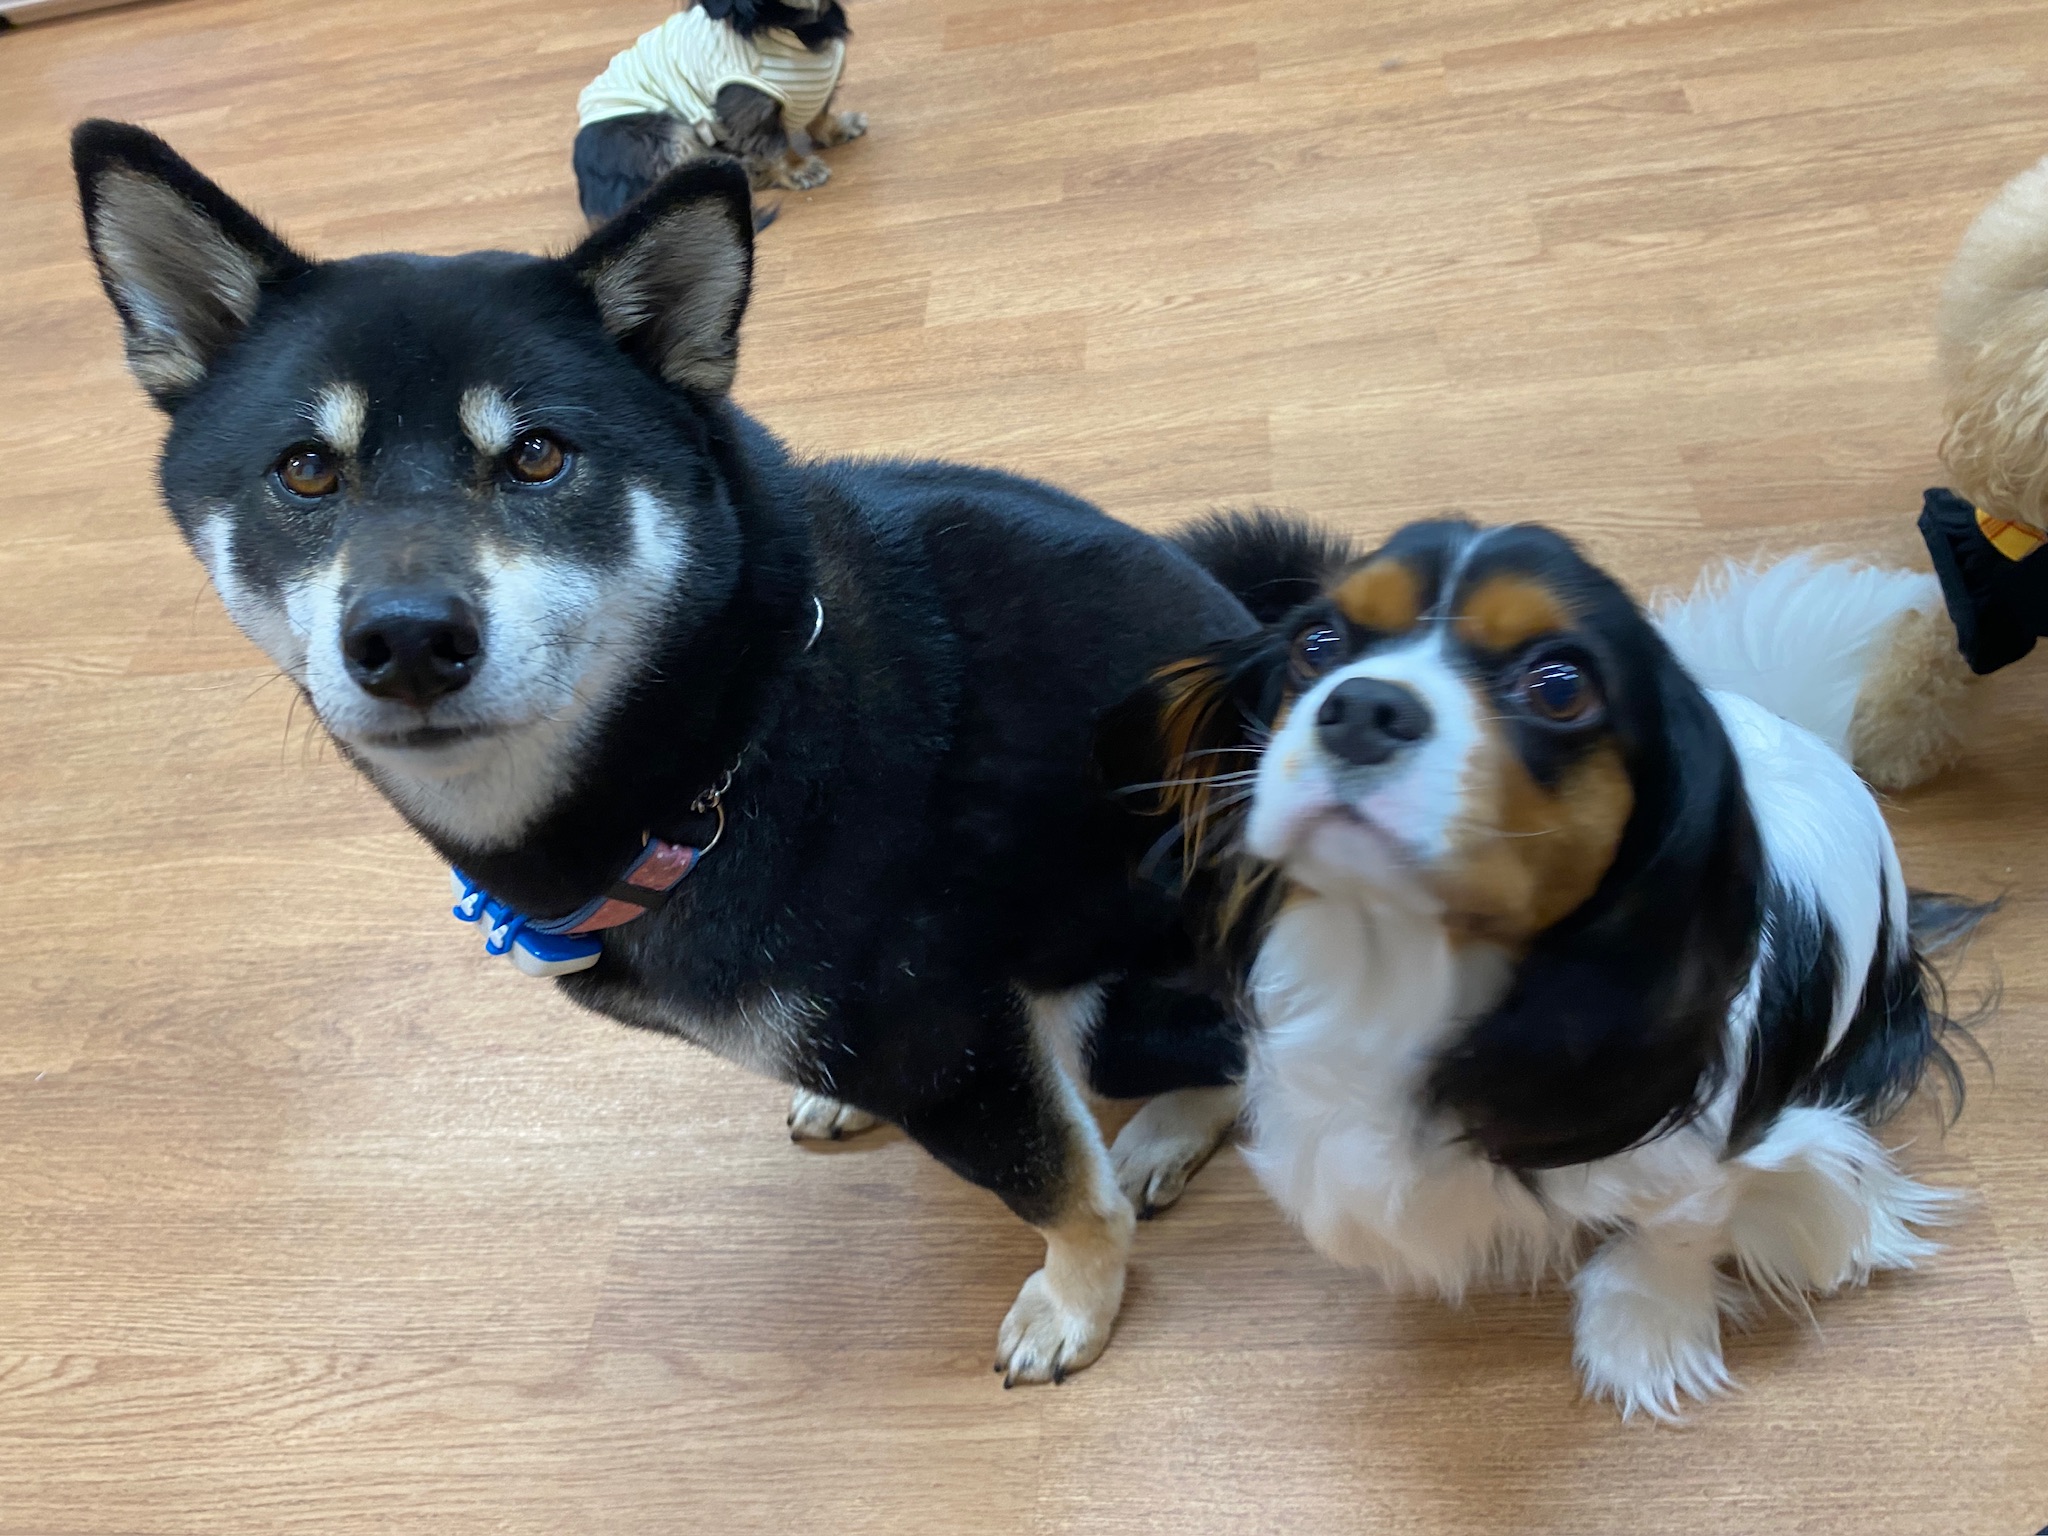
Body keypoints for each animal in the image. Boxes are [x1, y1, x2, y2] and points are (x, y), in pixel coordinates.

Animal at [72, 120, 1256, 1386]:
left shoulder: (944, 1039)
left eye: (538, 457)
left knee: (1241, 1062)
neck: (730, 741)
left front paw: (1075, 1299)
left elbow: (1059, 1189)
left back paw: (1163, 1134)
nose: (408, 640)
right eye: (305, 468)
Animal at [574, 0, 864, 221]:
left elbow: (819, 114)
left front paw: (838, 128)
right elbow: (775, 145)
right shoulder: (750, 109)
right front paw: (799, 169)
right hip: (666, 134)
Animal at [1116, 512, 1989, 1419]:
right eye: (1316, 645)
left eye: (1560, 687)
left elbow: (1684, 1221)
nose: (1362, 704)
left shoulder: (1727, 1142)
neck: (1414, 957)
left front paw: (1641, 1336)